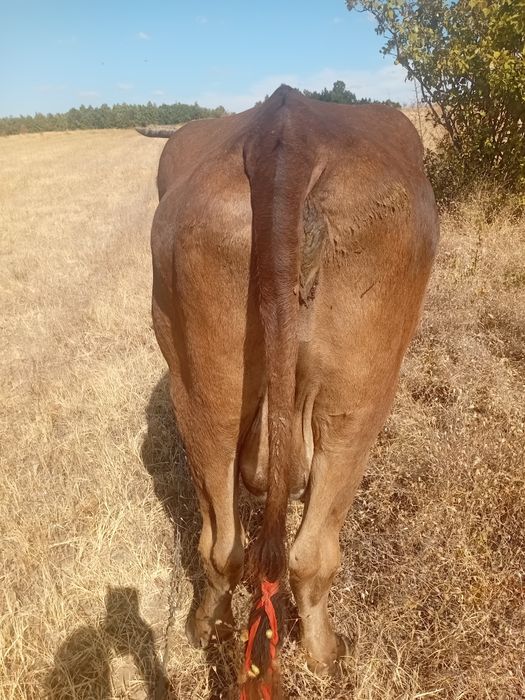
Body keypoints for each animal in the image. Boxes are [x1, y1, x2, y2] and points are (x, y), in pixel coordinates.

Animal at [148, 84, 439, 698]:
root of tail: (284, 132)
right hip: (359, 402)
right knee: (311, 555)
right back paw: (326, 653)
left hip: (202, 390)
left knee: (224, 547)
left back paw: (207, 629)